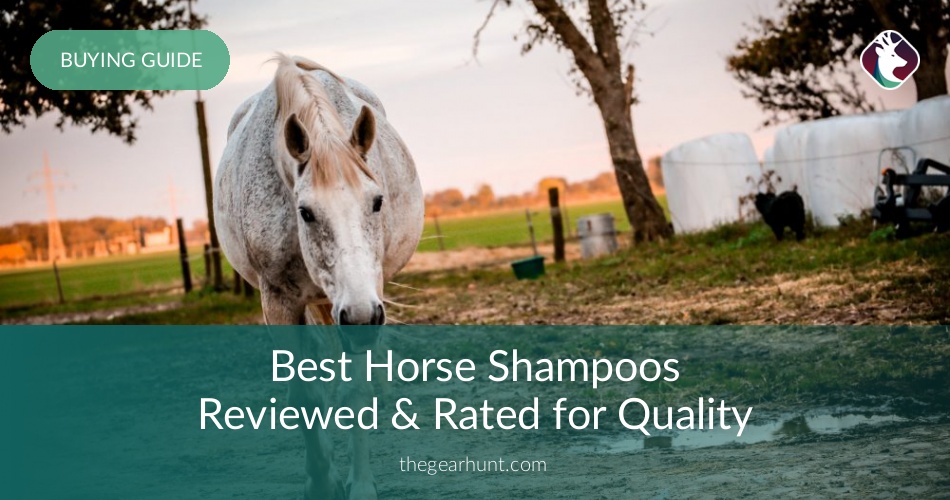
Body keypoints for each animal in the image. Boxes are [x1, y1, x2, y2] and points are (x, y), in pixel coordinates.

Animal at [213, 54, 424, 499]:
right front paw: (322, 479)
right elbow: (303, 393)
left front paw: (359, 484)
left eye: (377, 201)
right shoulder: (279, 302)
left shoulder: (368, 302)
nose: (361, 317)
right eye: (306, 212)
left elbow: (356, 388)